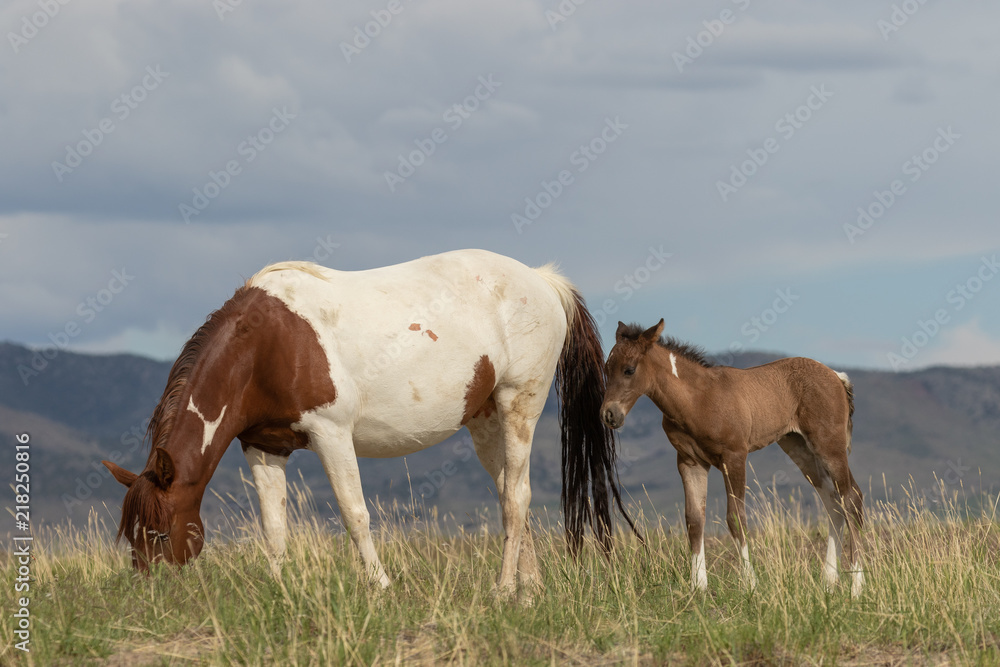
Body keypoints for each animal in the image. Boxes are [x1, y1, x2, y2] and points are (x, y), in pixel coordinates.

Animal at [102, 249, 636, 598]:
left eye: (159, 534)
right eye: (132, 534)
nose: (150, 596)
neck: (263, 346)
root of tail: (542, 281)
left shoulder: (331, 434)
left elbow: (354, 513)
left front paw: (380, 586)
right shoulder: (263, 447)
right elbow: (274, 527)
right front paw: (279, 591)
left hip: (517, 406)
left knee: (517, 498)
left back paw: (504, 591)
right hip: (484, 422)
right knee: (511, 491)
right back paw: (530, 589)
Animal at [600, 319, 864, 597]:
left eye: (629, 370)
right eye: (606, 368)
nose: (609, 415)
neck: (697, 400)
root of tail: (836, 376)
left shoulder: (734, 457)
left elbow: (736, 518)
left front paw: (750, 584)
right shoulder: (689, 461)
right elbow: (694, 520)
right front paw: (698, 586)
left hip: (829, 446)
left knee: (851, 499)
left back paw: (856, 586)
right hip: (798, 446)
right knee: (833, 502)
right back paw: (828, 582)